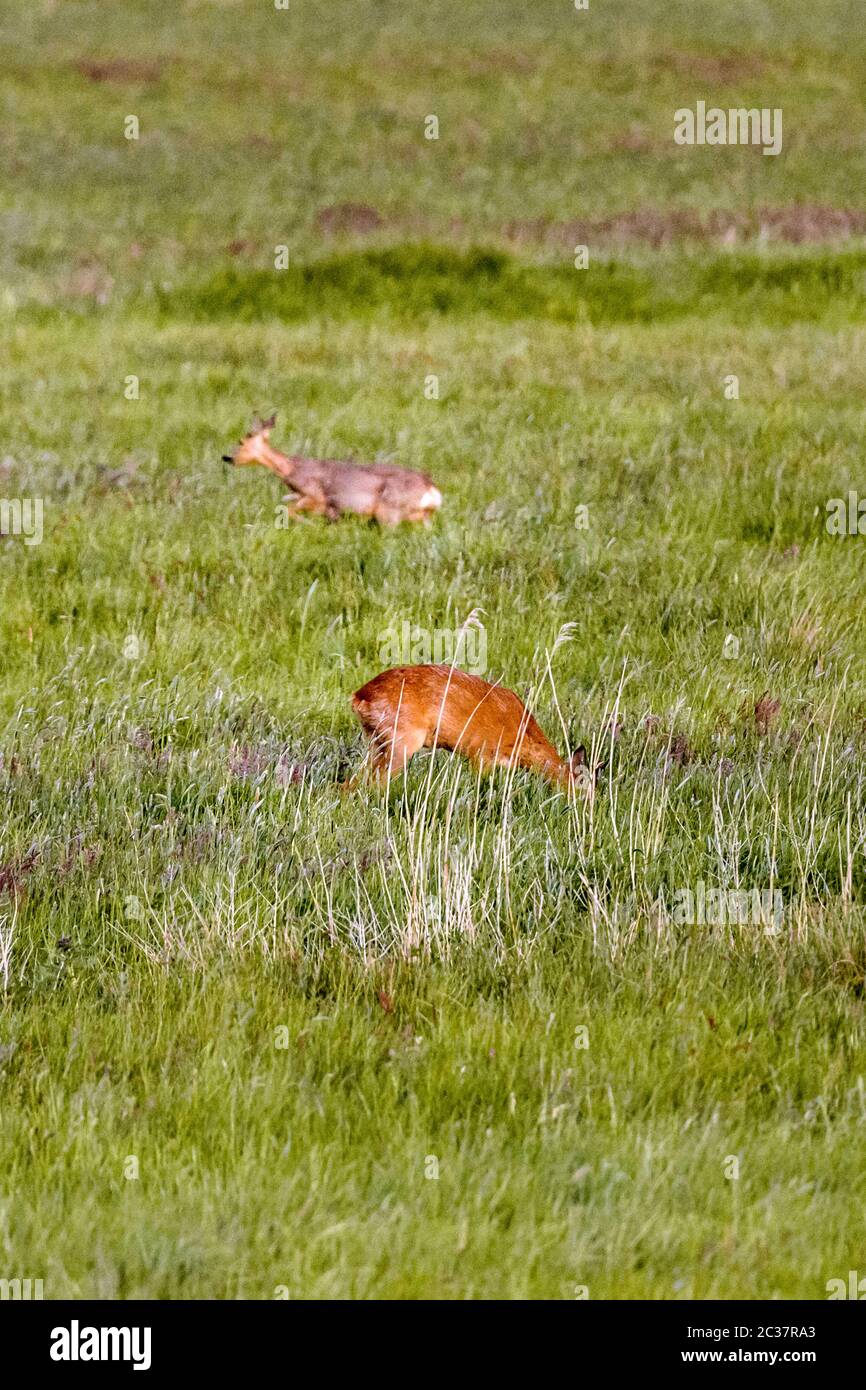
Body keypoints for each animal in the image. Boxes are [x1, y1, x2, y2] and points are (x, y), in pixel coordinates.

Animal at [225, 414, 439, 522]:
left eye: (242, 440)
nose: (227, 457)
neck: (291, 468)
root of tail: (431, 488)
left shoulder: (317, 499)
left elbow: (289, 510)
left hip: (389, 513)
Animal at [346, 661, 603, 795]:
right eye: (585, 786)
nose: (592, 809)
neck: (522, 737)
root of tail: (359, 697)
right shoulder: (482, 754)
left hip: (377, 742)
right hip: (401, 740)